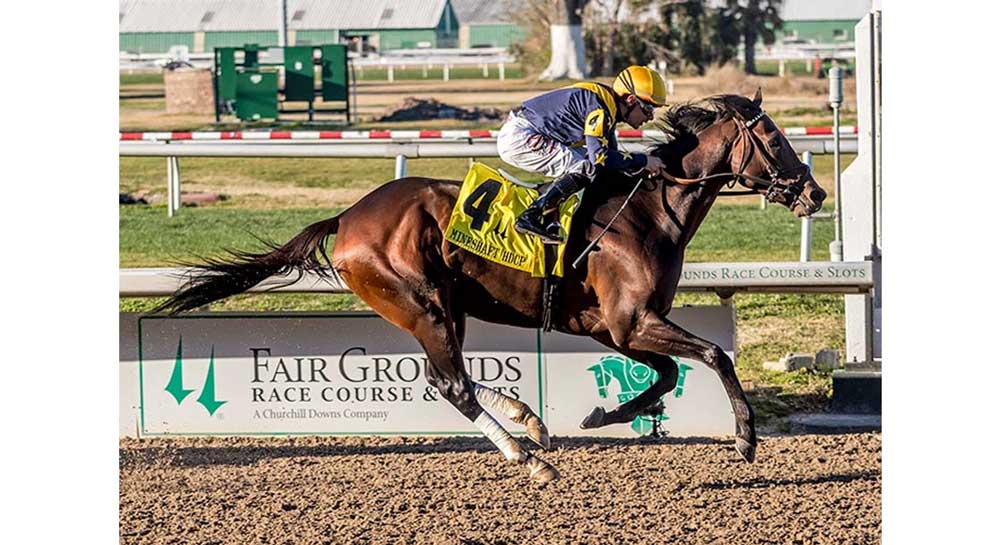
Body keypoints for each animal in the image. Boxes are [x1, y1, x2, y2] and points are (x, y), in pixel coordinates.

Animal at [156, 91, 828, 482]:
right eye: (774, 139)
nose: (815, 192)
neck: (647, 209)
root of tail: (346, 217)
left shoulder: (614, 329)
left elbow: (664, 377)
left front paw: (602, 414)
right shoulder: (631, 321)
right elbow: (715, 354)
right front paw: (744, 438)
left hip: (444, 306)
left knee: (449, 377)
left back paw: (529, 422)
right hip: (420, 303)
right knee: (451, 382)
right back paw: (528, 458)